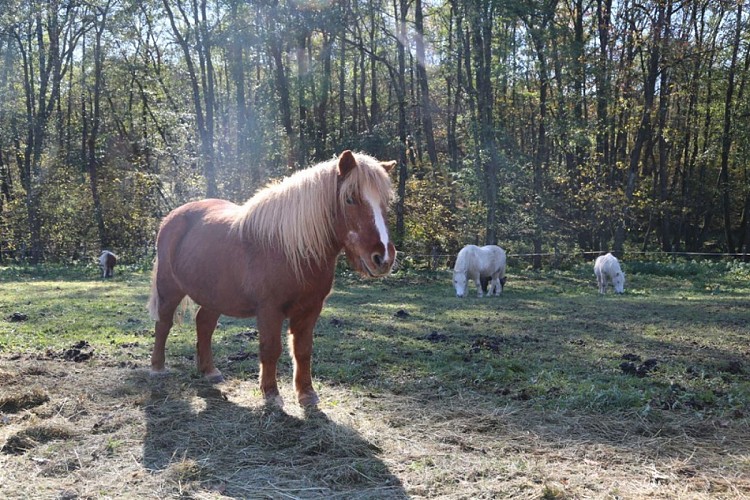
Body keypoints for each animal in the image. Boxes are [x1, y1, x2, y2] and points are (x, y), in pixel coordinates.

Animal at [147, 151, 396, 407]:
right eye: (350, 199)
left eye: (386, 203)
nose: (383, 258)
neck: (291, 249)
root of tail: (171, 218)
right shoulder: (269, 310)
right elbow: (271, 349)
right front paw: (271, 394)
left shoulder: (310, 309)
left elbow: (303, 350)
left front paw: (306, 394)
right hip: (169, 289)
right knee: (163, 324)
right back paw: (157, 368)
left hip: (214, 296)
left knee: (204, 325)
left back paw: (209, 371)